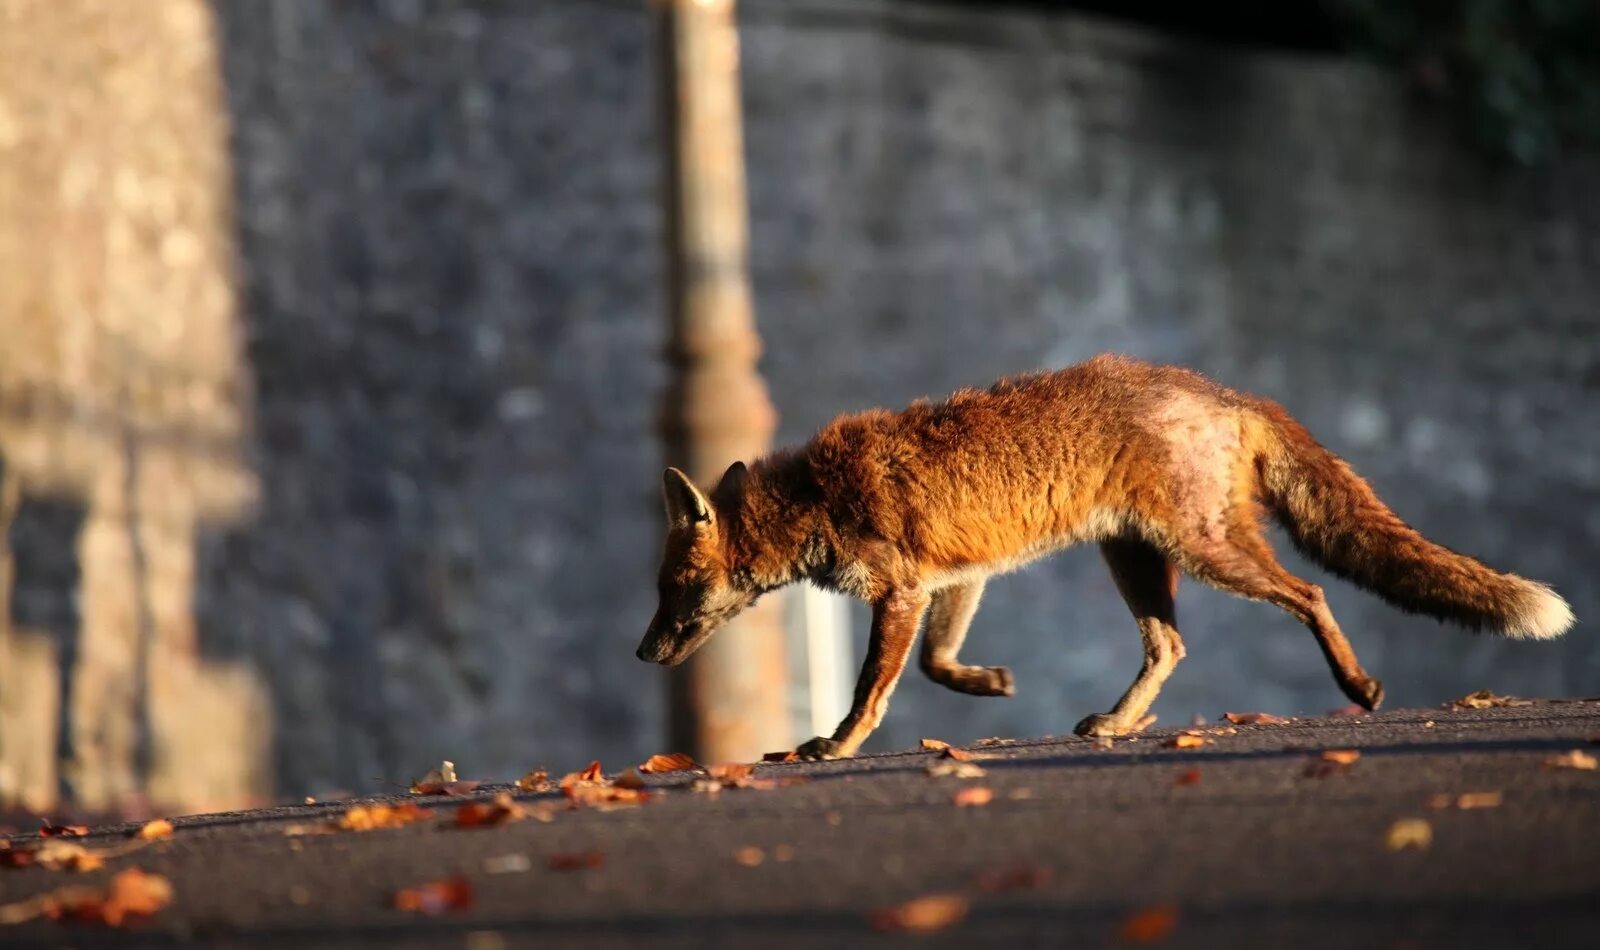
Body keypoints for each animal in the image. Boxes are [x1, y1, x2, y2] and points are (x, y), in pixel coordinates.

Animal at [630, 351, 1568, 758]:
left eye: (676, 586)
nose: (641, 652)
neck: (816, 497)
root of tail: (1228, 390)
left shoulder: (898, 589)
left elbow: (872, 689)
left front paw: (834, 745)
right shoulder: (955, 577)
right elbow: (936, 664)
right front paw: (989, 684)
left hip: (1204, 551)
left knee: (1308, 593)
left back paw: (1357, 686)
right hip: (1137, 560)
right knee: (1171, 646)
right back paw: (1120, 724)